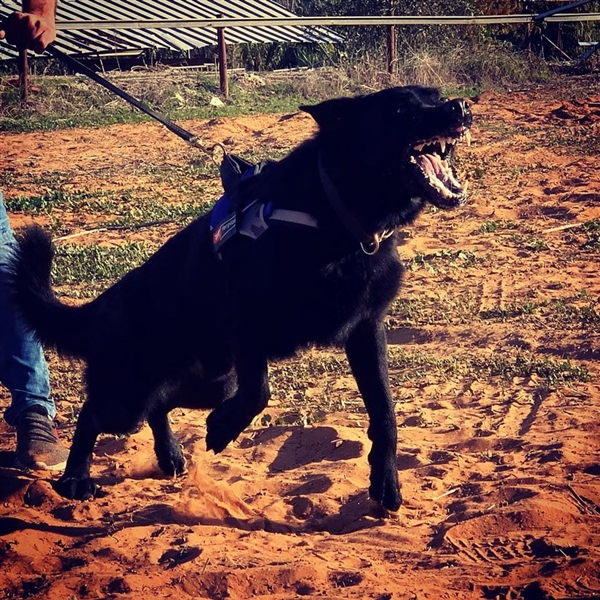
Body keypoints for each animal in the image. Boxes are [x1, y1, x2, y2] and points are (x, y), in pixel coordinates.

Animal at [7, 85, 472, 510]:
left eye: (435, 97)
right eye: (401, 109)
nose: (462, 106)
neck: (336, 218)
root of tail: (106, 303)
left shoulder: (365, 331)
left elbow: (385, 413)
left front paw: (385, 481)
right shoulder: (247, 319)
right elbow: (260, 389)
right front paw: (224, 428)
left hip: (204, 382)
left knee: (158, 406)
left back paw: (169, 455)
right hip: (132, 393)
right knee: (92, 414)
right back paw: (75, 479)